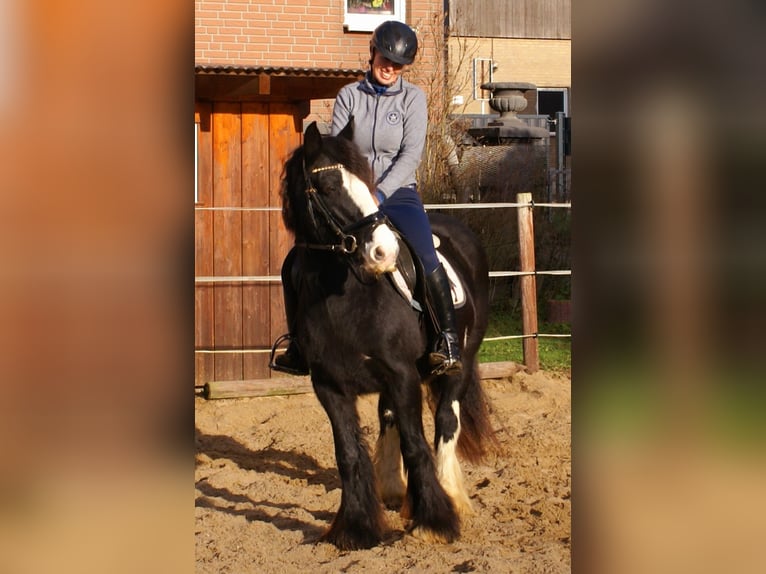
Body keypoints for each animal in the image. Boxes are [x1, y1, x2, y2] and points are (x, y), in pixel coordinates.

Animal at [276, 121, 498, 552]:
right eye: (328, 187)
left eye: (367, 180)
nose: (383, 252)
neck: (345, 297)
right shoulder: (328, 384)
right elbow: (348, 452)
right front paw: (356, 528)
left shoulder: (402, 374)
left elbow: (417, 443)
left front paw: (434, 522)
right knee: (389, 417)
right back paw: (393, 490)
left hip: (459, 362)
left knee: (446, 421)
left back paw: (451, 496)